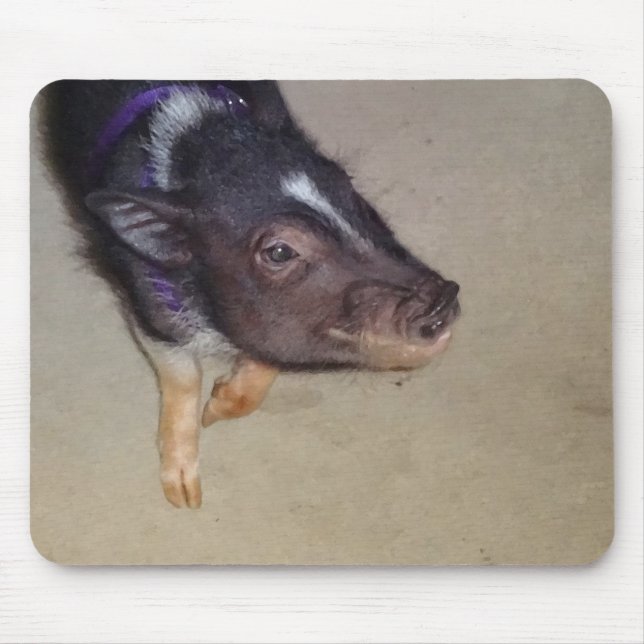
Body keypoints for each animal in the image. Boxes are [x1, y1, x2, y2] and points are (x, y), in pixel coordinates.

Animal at [40, 81, 460, 509]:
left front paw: (216, 406)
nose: (443, 297)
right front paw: (185, 497)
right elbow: (184, 378)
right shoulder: (145, 304)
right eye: (280, 252)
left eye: (357, 200)